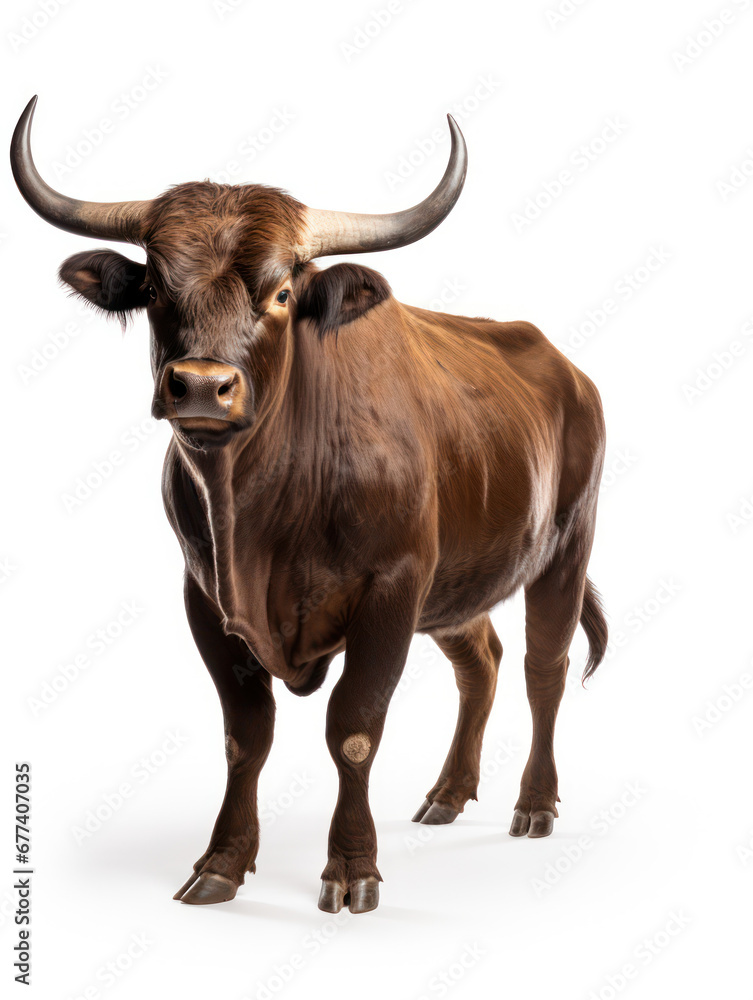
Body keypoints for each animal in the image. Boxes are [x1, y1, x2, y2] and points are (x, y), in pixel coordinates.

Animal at [11, 96, 607, 915]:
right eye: (157, 289)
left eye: (282, 294)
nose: (202, 387)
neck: (259, 518)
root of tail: (567, 369)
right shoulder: (205, 595)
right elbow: (245, 736)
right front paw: (222, 862)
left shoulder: (391, 588)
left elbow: (352, 729)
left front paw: (352, 868)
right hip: (456, 583)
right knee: (479, 662)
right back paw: (448, 794)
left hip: (563, 550)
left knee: (542, 667)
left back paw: (535, 804)